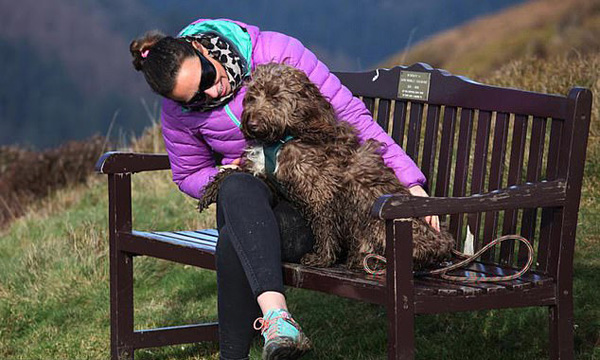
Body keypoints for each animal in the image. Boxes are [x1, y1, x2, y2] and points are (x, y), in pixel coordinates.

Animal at [204, 62, 452, 270]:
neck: (282, 139)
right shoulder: (272, 177)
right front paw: (212, 187)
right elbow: (239, 173)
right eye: (252, 97)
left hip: (373, 219)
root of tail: (444, 245)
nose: (253, 124)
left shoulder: (321, 192)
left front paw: (322, 258)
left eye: (275, 97)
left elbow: (324, 227)